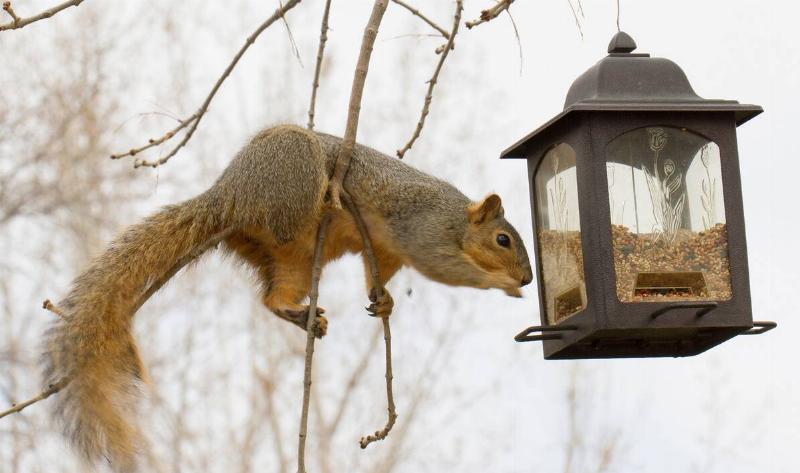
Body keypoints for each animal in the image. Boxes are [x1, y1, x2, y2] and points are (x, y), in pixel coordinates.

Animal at [41, 124, 533, 471]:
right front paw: (501, 285)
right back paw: (328, 198)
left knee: (273, 296)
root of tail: (228, 195)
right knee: (289, 213)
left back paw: (301, 316)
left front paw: (385, 301)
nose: (528, 277)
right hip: (293, 172)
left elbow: (376, 275)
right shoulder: (423, 232)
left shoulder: (386, 250)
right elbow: (445, 268)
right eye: (503, 239)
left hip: (291, 260)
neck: (457, 220)